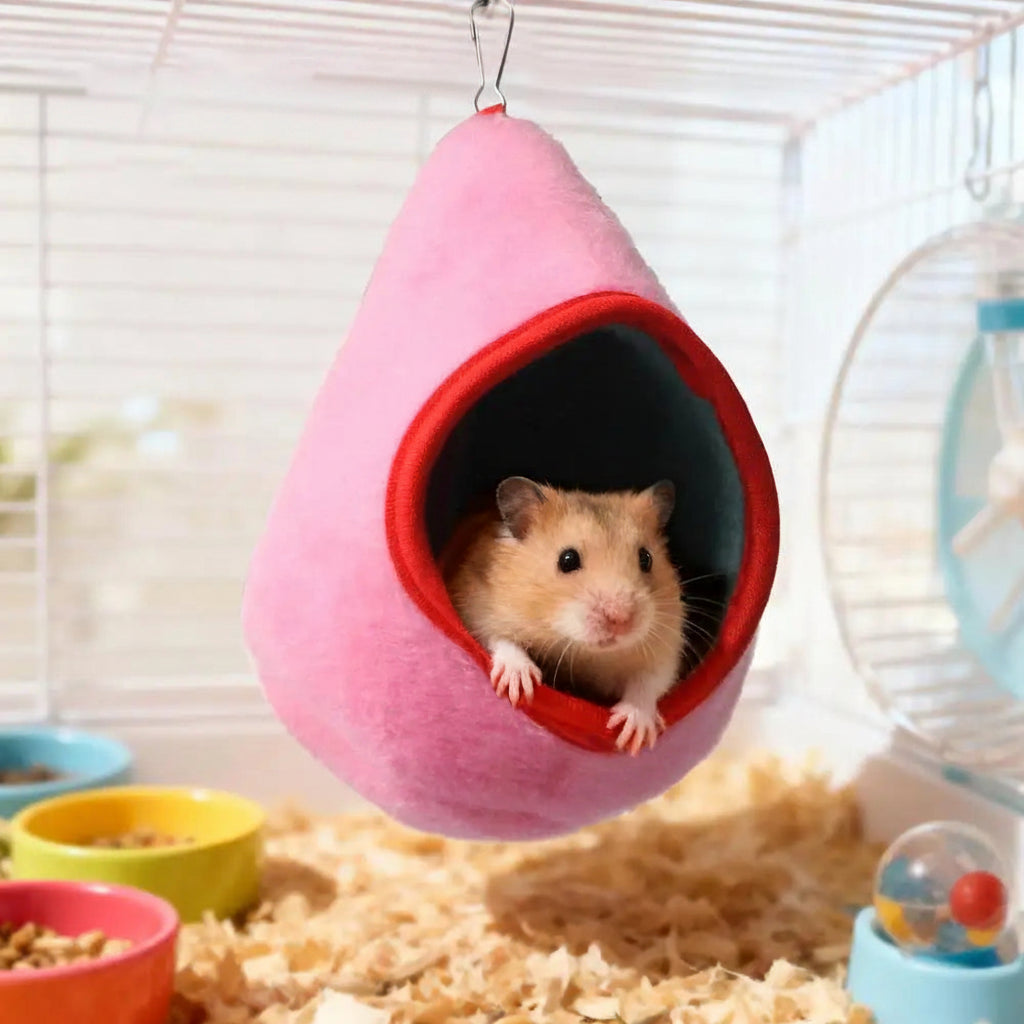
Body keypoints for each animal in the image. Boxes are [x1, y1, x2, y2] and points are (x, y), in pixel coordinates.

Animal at [442, 477, 686, 755]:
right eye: (567, 559)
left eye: (646, 558)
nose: (620, 620)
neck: (583, 650)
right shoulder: (475, 605)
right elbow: (497, 638)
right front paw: (520, 687)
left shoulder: (666, 646)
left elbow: (649, 682)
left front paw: (634, 734)